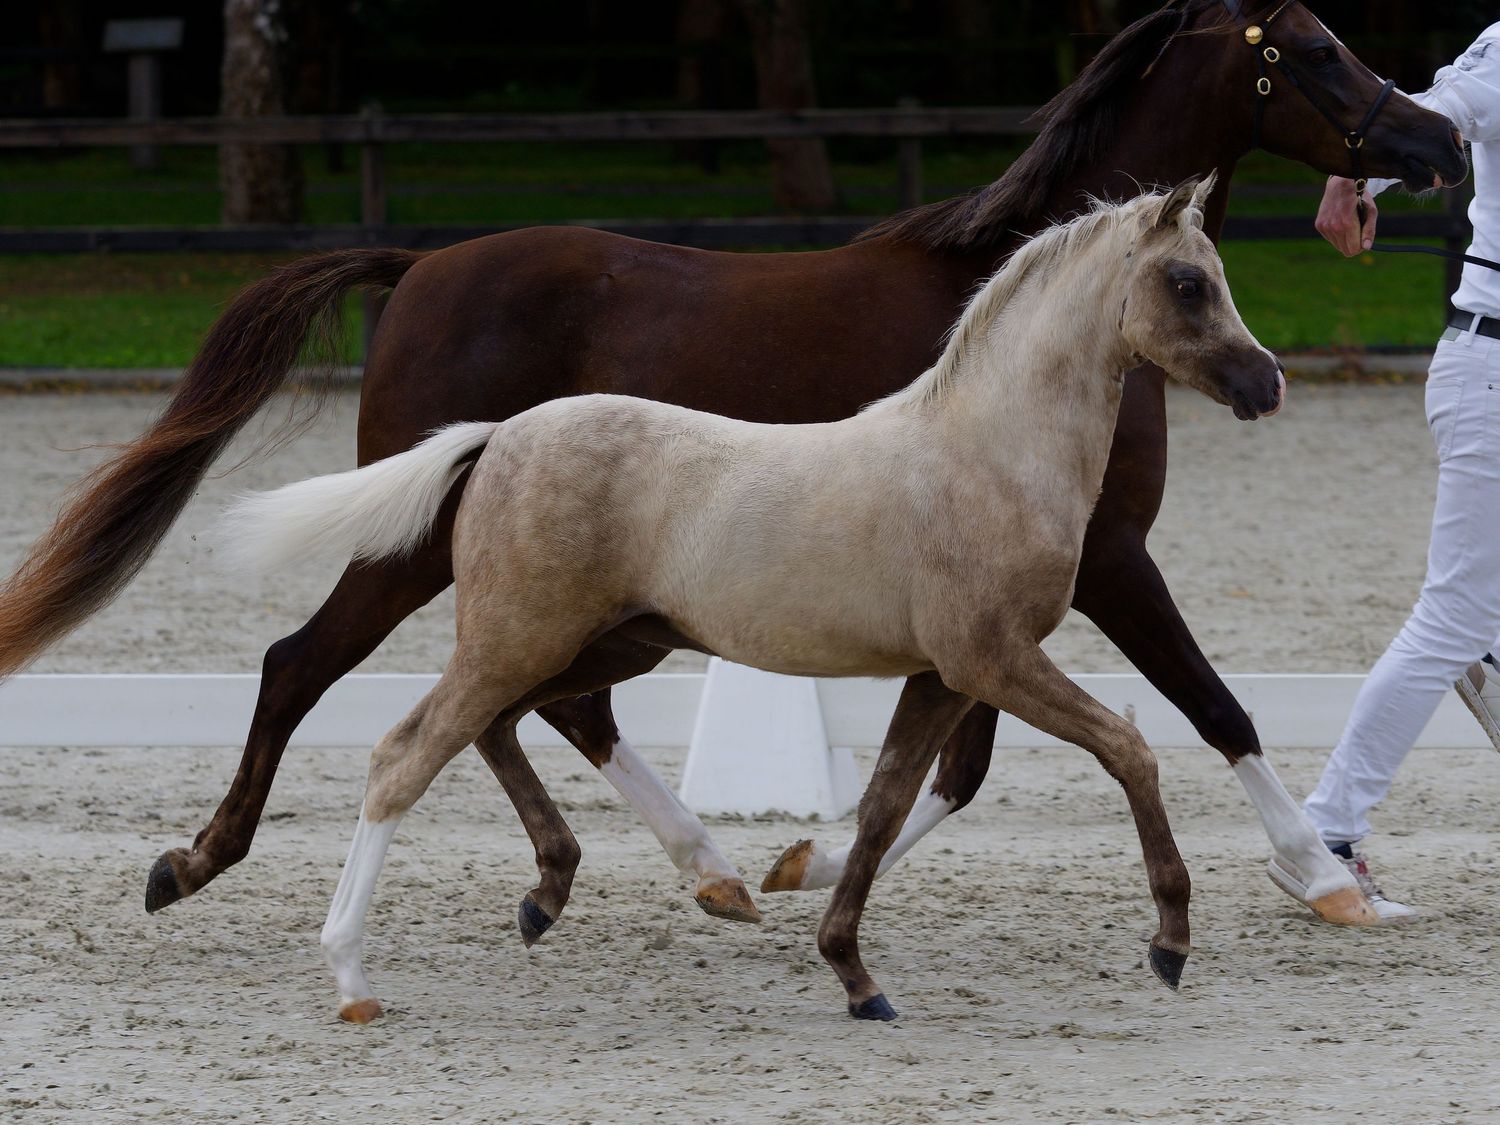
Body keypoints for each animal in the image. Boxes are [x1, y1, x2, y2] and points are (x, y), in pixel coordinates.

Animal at [0, 1, 1464, 936]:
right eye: (1317, 54)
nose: (1438, 142)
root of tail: (417, 265)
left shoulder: (1007, 600)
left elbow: (955, 763)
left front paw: (806, 864)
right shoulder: (1109, 563)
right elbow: (1210, 709)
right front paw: (1332, 882)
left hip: (581, 593)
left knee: (540, 707)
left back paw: (651, 873)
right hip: (423, 548)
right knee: (310, 667)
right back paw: (195, 863)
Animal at [222, 179, 1283, 1023]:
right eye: (1188, 282)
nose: (1264, 382)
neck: (986, 453)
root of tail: (498, 437)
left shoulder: (943, 674)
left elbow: (885, 806)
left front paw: (853, 973)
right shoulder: (995, 659)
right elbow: (1132, 749)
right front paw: (1170, 942)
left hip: (604, 643)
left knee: (512, 723)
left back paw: (564, 894)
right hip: (518, 636)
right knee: (405, 752)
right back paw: (352, 975)